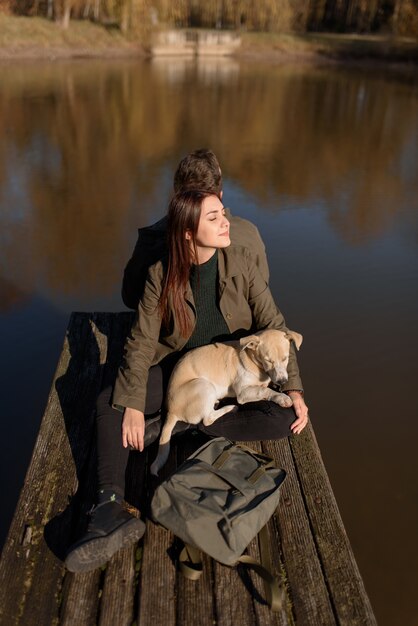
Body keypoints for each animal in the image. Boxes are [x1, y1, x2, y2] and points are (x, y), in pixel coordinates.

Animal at [150, 326, 300, 472]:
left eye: (286, 358)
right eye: (268, 360)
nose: (282, 381)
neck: (252, 359)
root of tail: (171, 411)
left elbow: (264, 387)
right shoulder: (243, 392)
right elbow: (264, 390)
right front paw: (282, 397)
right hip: (204, 385)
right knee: (207, 420)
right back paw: (230, 408)